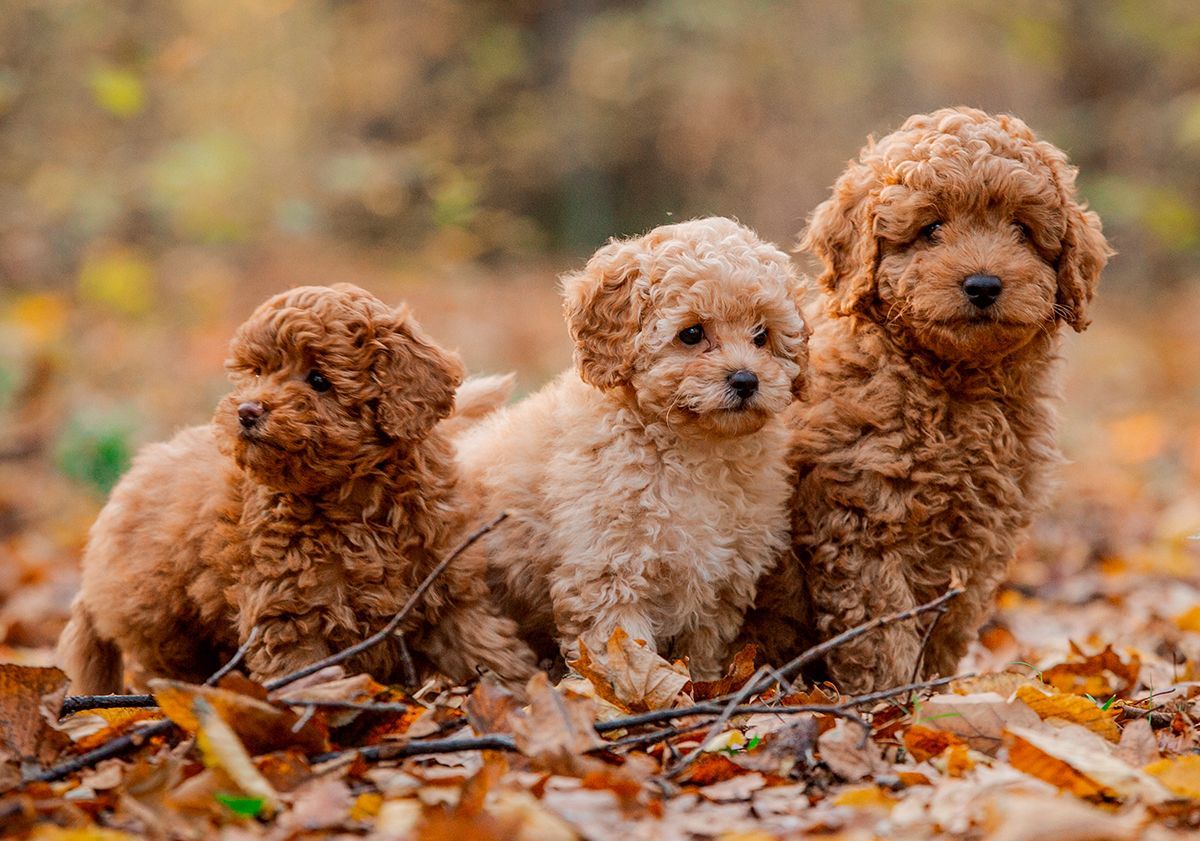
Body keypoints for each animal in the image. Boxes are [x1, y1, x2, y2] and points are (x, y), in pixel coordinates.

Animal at [58, 281, 537, 691]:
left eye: (319, 379)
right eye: (256, 373)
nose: (247, 411)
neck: (354, 497)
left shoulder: (447, 582)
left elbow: (485, 644)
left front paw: (520, 691)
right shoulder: (288, 607)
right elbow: (300, 669)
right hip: (163, 622)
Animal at [453, 214, 811, 676]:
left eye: (762, 335)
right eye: (691, 333)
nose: (746, 380)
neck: (695, 449)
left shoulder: (719, 581)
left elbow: (701, 653)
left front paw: (700, 685)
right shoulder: (609, 569)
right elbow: (625, 653)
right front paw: (634, 693)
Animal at [739, 107, 1113, 691]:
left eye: (1021, 230)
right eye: (931, 228)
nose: (983, 284)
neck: (953, 385)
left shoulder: (982, 536)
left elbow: (950, 624)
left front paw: (933, 690)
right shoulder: (860, 521)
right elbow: (881, 630)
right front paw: (895, 699)